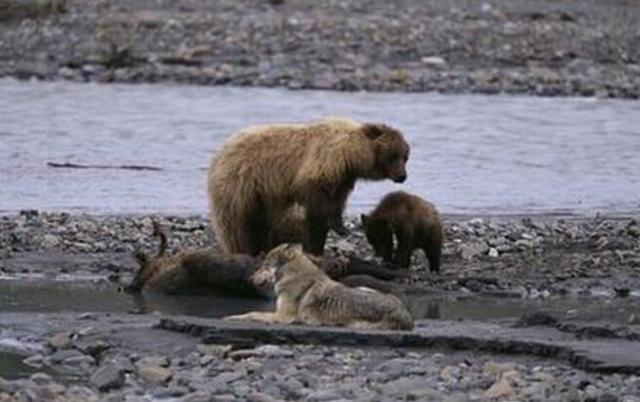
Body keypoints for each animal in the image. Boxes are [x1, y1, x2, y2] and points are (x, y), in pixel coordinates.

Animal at [210, 117, 410, 254]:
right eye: (392, 156)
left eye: (405, 156)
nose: (402, 176)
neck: (350, 155)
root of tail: (219, 153)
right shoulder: (324, 162)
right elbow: (319, 200)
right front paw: (340, 228)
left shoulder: (343, 178)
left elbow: (327, 208)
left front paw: (318, 243)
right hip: (240, 183)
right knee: (237, 222)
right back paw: (243, 249)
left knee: (260, 221)